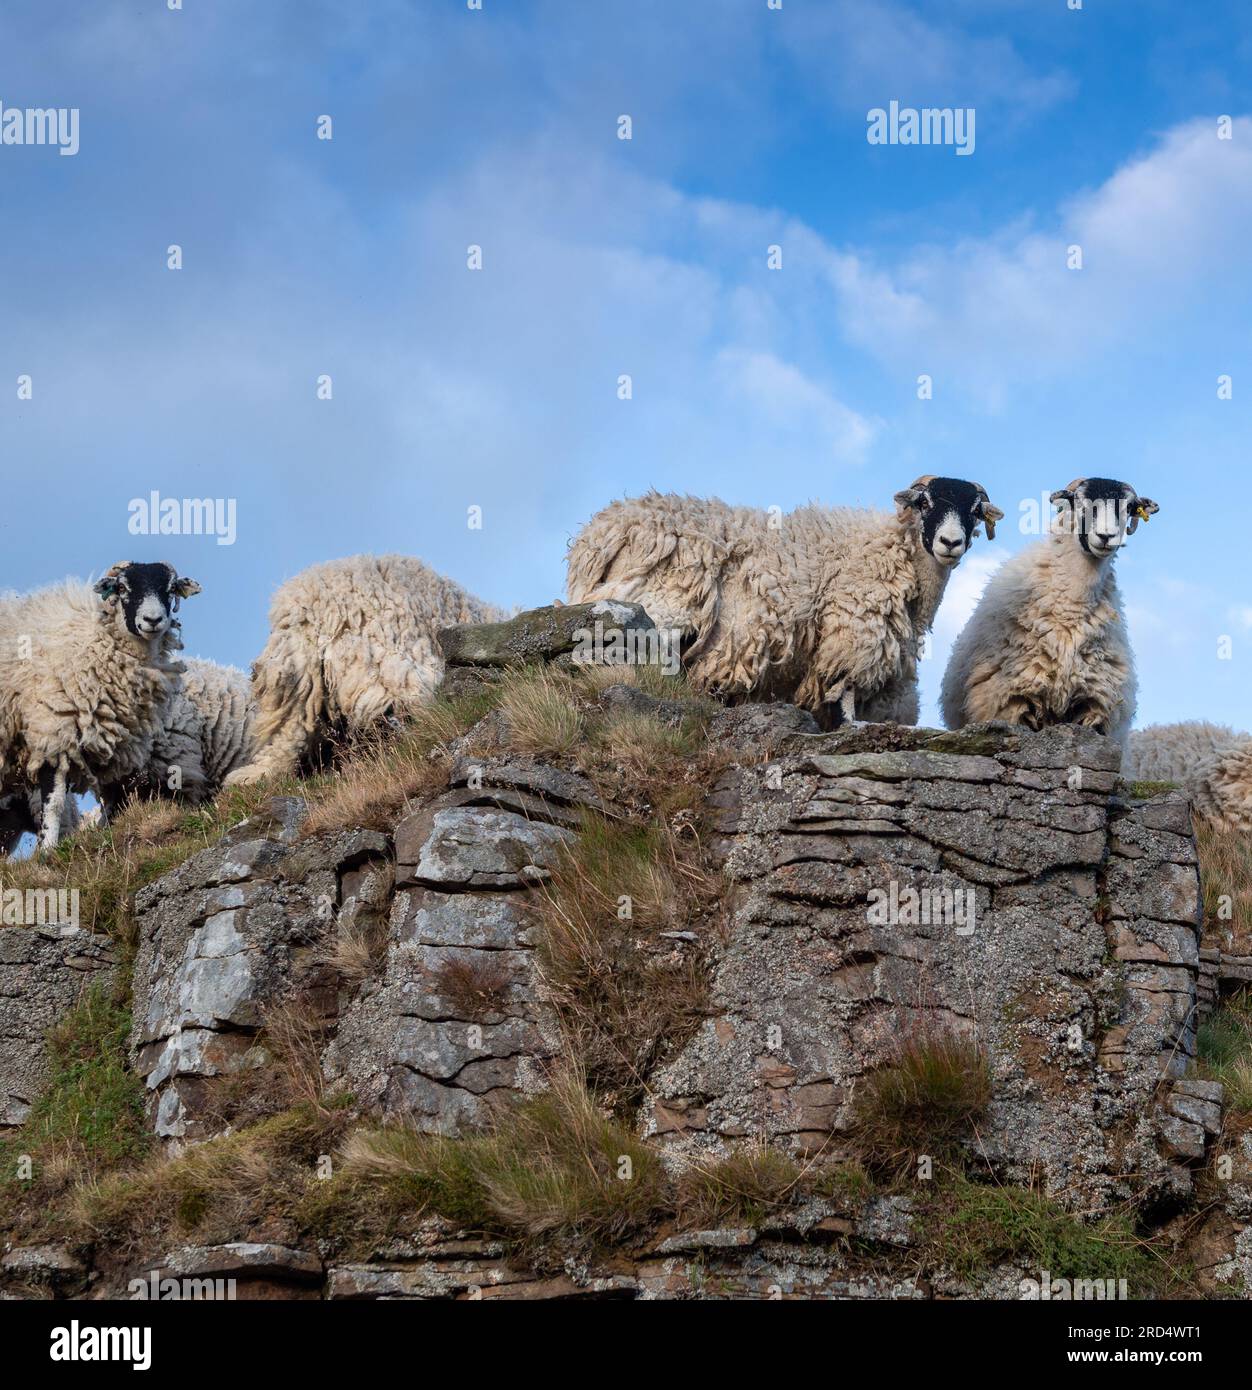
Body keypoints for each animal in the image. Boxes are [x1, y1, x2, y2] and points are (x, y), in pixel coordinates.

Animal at [0, 561, 199, 851]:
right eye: (122, 588)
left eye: (171, 587)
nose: (152, 620)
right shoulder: (53, 729)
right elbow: (54, 803)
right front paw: (47, 851)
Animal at [565, 478, 1004, 725]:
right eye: (924, 503)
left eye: (974, 510)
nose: (951, 542)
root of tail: (599, 535)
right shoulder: (853, 629)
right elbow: (844, 691)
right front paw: (851, 726)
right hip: (654, 602)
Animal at [940, 476, 1158, 747]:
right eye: (1079, 501)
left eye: (1128, 508)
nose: (1106, 537)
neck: (1070, 612)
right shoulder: (1011, 701)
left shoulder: (1094, 708)